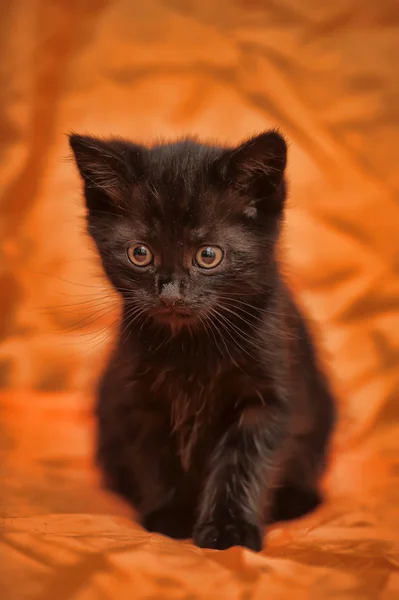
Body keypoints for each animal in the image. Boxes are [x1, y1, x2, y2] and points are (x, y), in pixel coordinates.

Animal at [70, 131, 336, 552]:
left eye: (208, 255)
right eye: (140, 253)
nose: (170, 293)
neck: (193, 347)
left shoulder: (267, 397)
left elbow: (242, 462)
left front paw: (229, 529)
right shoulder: (138, 396)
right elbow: (155, 458)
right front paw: (172, 516)